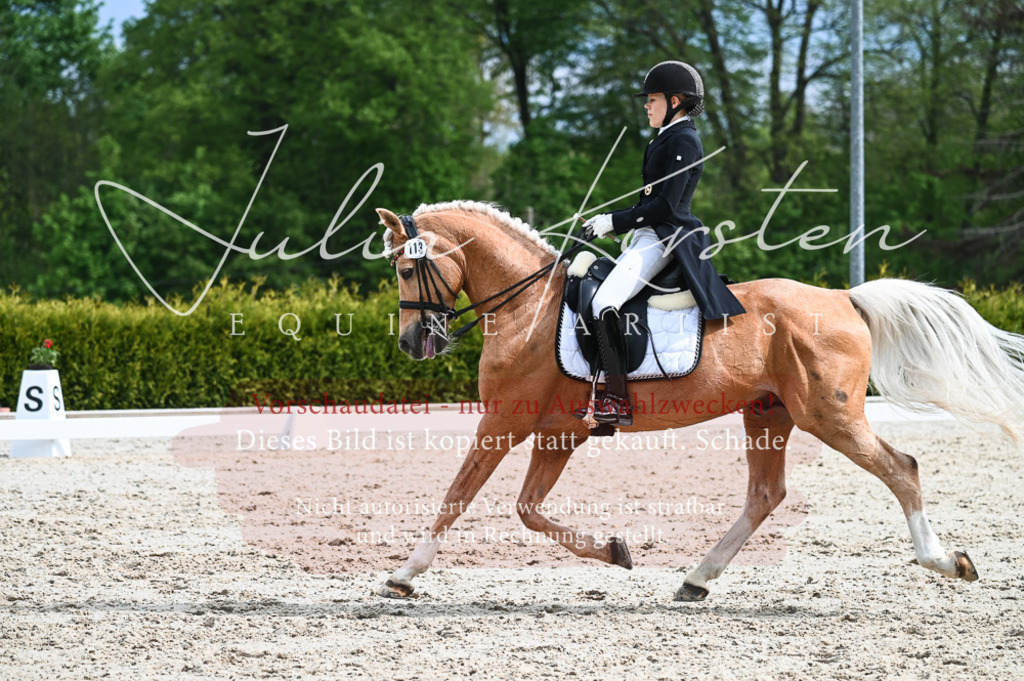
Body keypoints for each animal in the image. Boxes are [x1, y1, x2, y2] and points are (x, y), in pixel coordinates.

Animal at [372, 200, 1024, 601]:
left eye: (405, 270)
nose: (410, 343)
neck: (524, 306)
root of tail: (843, 296)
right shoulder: (560, 432)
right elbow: (527, 510)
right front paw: (615, 550)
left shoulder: (503, 421)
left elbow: (457, 496)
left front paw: (404, 574)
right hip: (769, 413)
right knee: (766, 494)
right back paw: (696, 579)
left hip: (829, 415)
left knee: (901, 468)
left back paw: (945, 562)